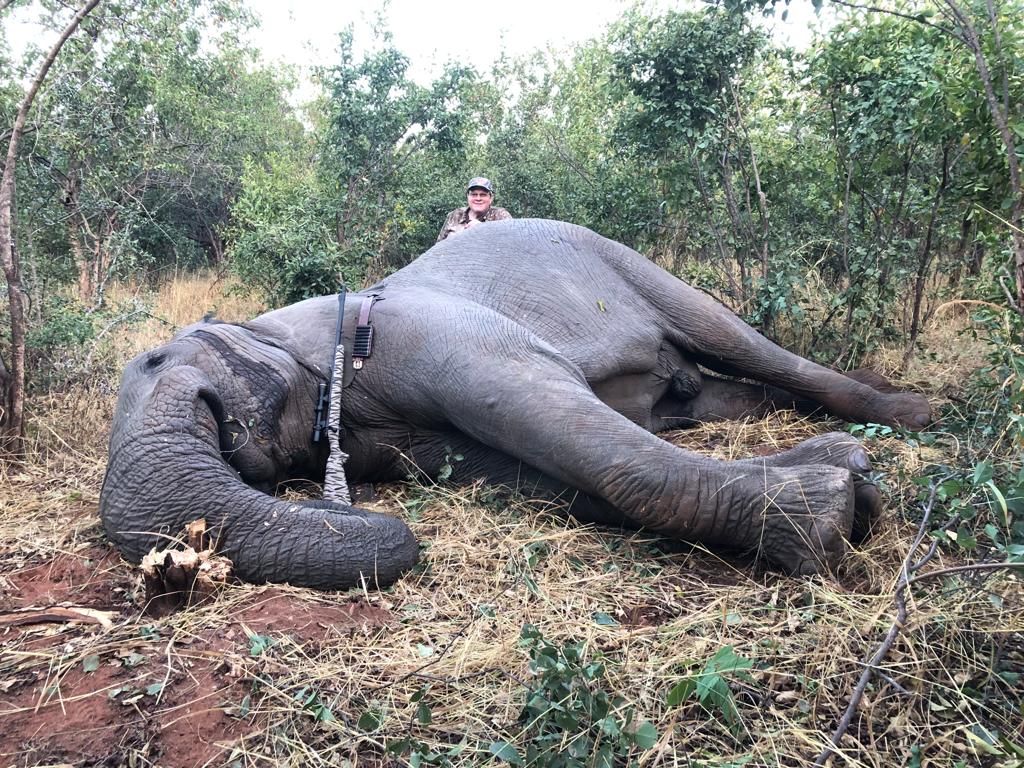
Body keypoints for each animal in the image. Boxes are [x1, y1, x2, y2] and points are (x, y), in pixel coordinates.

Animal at [99, 219, 931, 591]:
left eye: (157, 359)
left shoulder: (426, 334)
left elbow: (580, 437)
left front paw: (831, 513)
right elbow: (544, 475)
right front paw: (842, 476)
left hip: (629, 262)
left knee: (737, 340)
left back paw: (910, 413)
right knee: (709, 396)